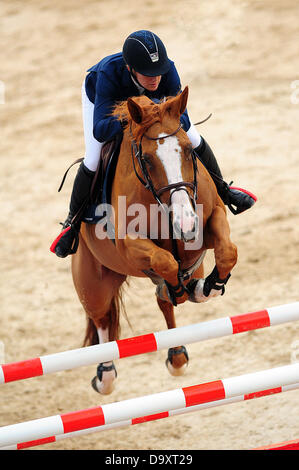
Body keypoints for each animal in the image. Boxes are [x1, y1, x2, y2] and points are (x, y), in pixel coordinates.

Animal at [71, 87, 238, 392]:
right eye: (147, 159)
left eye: (188, 150)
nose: (186, 223)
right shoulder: (128, 244)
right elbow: (164, 260)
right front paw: (180, 288)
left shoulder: (212, 219)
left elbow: (227, 252)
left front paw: (212, 285)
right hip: (93, 283)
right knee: (102, 319)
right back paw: (105, 374)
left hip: (193, 265)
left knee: (167, 299)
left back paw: (179, 350)